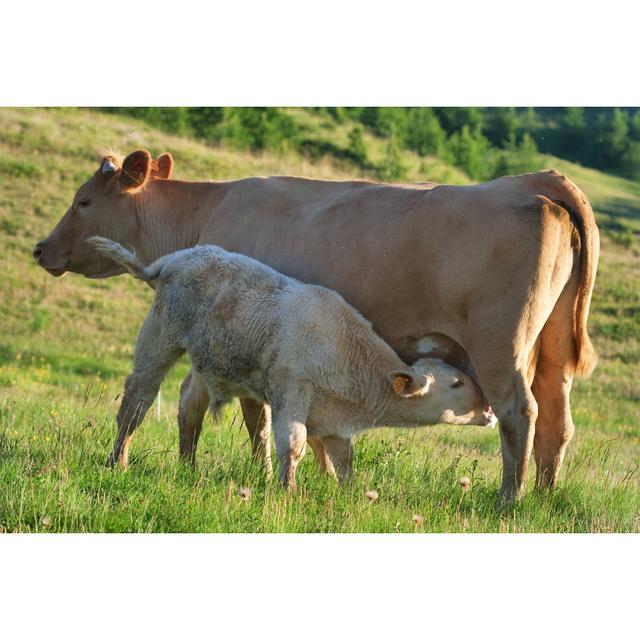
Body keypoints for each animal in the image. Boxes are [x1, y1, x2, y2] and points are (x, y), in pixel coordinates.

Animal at [35, 151, 600, 504]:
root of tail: (538, 184)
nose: (41, 248)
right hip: (551, 351)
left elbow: (252, 417)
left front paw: (263, 474)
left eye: (84, 201)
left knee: (519, 414)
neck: (208, 210)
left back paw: (508, 499)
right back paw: (542, 497)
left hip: (500, 348)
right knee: (556, 419)